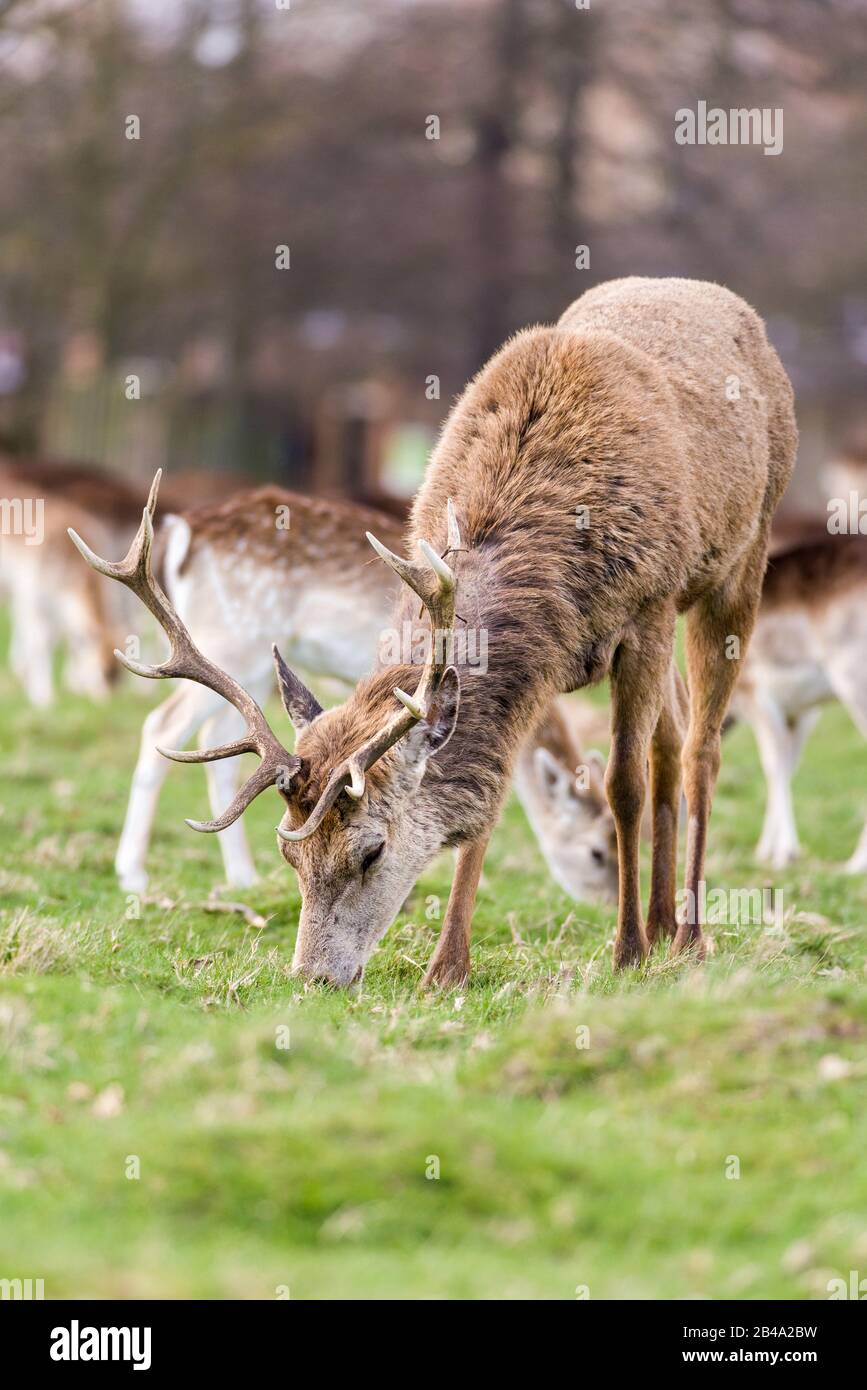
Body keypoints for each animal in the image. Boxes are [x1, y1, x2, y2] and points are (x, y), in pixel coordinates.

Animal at [74, 276, 800, 984]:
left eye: (371, 851)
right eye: (291, 855)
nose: (311, 976)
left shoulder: (647, 607)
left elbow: (625, 783)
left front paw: (626, 954)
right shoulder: (528, 681)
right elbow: (493, 794)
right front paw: (446, 968)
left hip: (737, 563)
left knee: (697, 750)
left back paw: (686, 937)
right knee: (672, 738)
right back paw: (662, 922)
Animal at [733, 528, 867, 867]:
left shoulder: (755, 694)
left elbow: (773, 762)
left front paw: (784, 855)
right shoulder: (804, 712)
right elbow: (788, 763)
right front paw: (766, 850)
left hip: (854, 680)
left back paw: (855, 863)